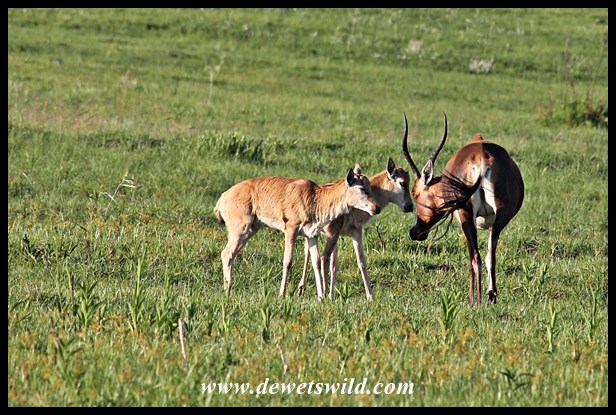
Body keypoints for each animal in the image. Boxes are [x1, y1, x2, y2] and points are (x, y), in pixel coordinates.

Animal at [214, 168, 381, 300]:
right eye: (362, 188)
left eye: (370, 187)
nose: (377, 208)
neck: (315, 198)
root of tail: (223, 197)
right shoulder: (291, 230)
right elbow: (288, 261)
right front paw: (282, 294)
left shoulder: (311, 236)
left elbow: (316, 262)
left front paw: (321, 297)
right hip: (241, 229)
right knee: (227, 253)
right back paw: (227, 291)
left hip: (250, 230)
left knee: (229, 254)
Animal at [297, 159, 413, 301]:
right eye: (403, 182)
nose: (410, 206)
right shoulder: (355, 232)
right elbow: (361, 261)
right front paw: (370, 296)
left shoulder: (336, 235)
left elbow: (334, 265)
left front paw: (331, 295)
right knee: (322, 257)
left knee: (309, 252)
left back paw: (303, 288)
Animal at [402, 112, 524, 306]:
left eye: (415, 193)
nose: (415, 232)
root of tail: (482, 157)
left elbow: (470, 257)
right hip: (499, 220)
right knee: (490, 256)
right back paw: (491, 296)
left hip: (467, 217)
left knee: (475, 257)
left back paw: (475, 301)